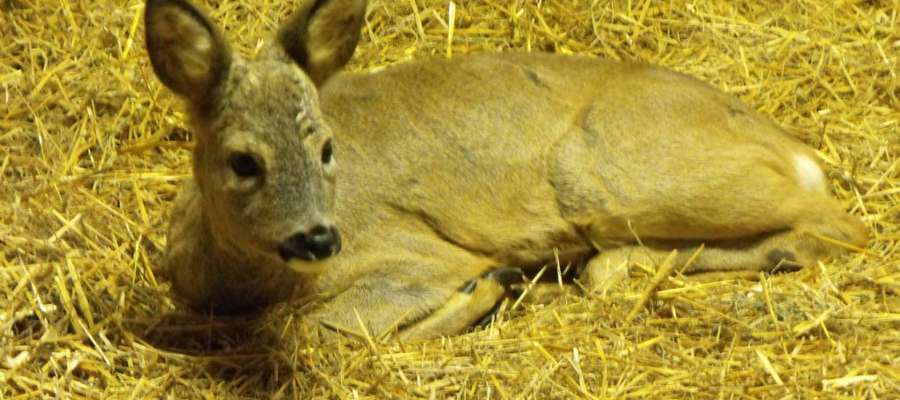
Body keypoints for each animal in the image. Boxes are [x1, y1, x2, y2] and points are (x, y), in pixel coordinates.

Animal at [144, 0, 868, 340]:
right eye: (243, 160)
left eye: (326, 148)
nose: (319, 237)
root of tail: (798, 152)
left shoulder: (410, 253)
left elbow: (324, 328)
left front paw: (484, 289)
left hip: (604, 174)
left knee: (835, 226)